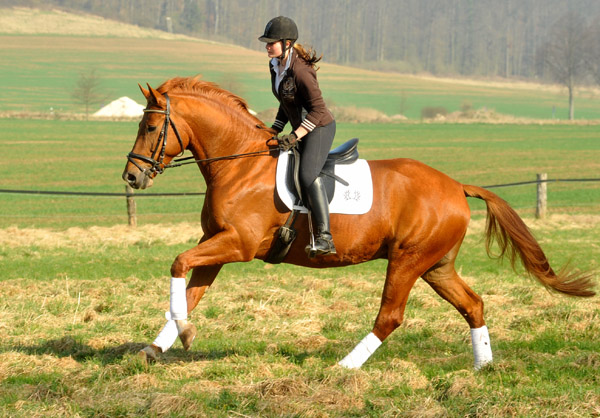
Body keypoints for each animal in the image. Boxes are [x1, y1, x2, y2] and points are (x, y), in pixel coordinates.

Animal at [123, 76, 596, 370]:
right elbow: (190, 290)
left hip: (407, 261)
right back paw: (484, 367)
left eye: (150, 127)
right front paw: (159, 344)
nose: (131, 177)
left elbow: (178, 263)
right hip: (436, 265)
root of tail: (455, 186)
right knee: (473, 305)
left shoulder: (236, 245)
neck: (240, 164)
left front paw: (181, 334)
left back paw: (346, 366)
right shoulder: (218, 246)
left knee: (390, 317)